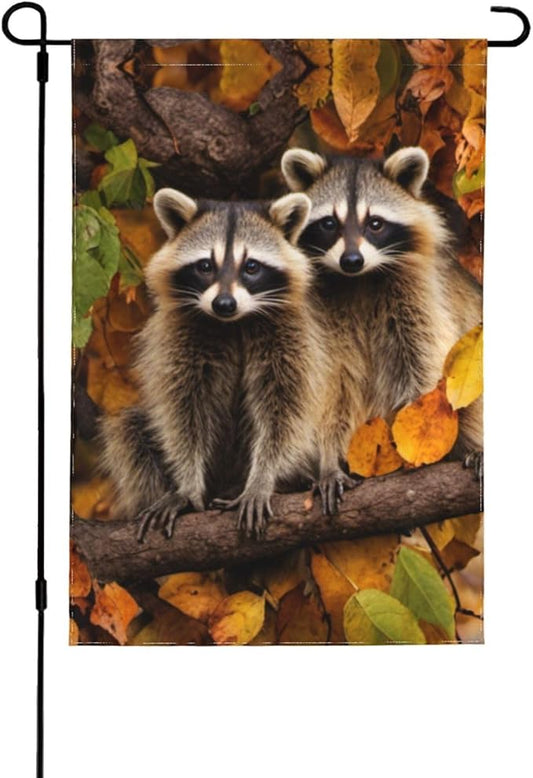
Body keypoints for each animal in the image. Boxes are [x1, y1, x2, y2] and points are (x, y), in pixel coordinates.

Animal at [100, 188, 328, 538]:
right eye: (205, 266)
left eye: (251, 267)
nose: (224, 303)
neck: (232, 322)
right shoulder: (180, 337)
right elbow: (183, 412)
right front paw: (186, 486)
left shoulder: (289, 334)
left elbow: (284, 409)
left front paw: (263, 478)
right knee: (130, 431)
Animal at [281, 146, 483, 461]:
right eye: (329, 223)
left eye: (375, 223)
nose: (351, 260)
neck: (359, 280)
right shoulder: (325, 315)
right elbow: (335, 382)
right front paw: (330, 454)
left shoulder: (419, 295)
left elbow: (424, 365)